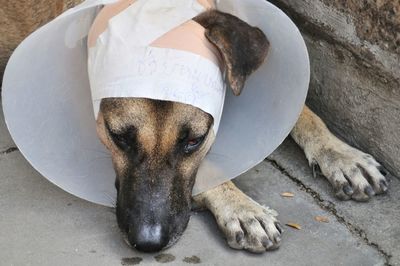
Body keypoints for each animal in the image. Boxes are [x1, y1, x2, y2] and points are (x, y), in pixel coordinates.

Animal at [0, 0, 388, 254]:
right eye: (119, 136)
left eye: (193, 140)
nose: (148, 243)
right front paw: (240, 206)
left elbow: (303, 111)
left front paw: (340, 154)